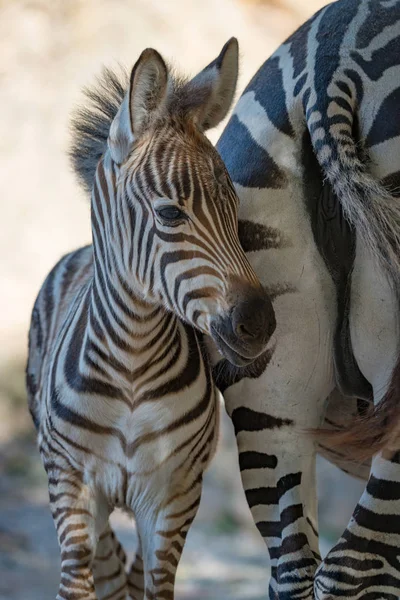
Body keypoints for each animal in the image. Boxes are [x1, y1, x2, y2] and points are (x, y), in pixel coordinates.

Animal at [25, 41, 276, 600]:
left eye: (235, 207)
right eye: (169, 215)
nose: (260, 325)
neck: (132, 361)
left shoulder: (173, 496)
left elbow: (155, 585)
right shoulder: (71, 486)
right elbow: (80, 579)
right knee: (105, 563)